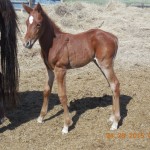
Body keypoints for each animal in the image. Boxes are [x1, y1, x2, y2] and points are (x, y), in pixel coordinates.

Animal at [22, 2, 120, 133]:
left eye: (38, 24)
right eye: (27, 23)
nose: (26, 43)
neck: (54, 44)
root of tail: (114, 38)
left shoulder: (60, 69)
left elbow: (62, 95)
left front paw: (66, 125)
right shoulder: (49, 70)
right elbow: (46, 91)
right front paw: (41, 117)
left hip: (106, 64)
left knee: (115, 84)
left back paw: (115, 122)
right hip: (99, 64)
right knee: (111, 85)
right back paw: (112, 117)